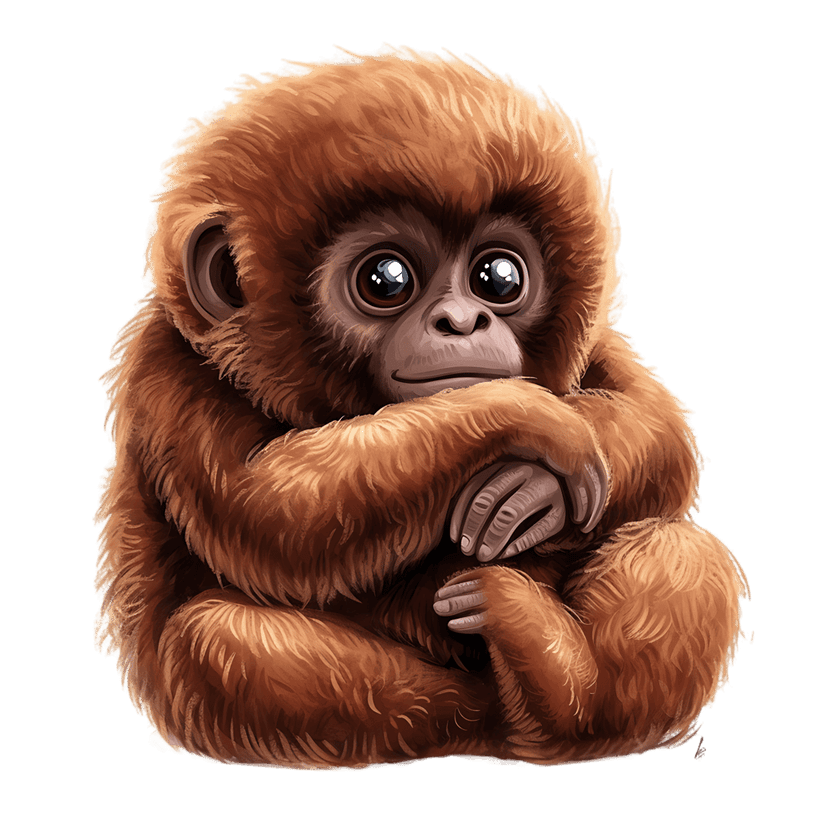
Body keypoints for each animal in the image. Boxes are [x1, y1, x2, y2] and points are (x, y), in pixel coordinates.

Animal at [93, 44, 749, 768]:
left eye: (499, 277)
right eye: (386, 280)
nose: (462, 321)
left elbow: (662, 430)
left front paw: (535, 488)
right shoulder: (168, 369)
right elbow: (266, 512)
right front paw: (537, 423)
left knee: (681, 549)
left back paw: (565, 698)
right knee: (214, 643)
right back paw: (482, 698)